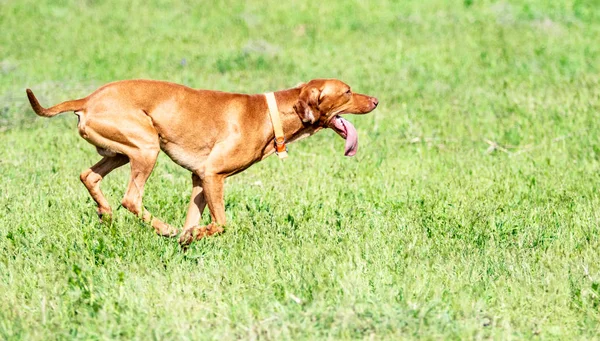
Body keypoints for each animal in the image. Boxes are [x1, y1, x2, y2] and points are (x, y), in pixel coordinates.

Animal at [27, 79, 380, 244]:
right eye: (348, 91)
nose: (376, 100)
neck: (273, 114)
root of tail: (87, 99)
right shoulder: (213, 175)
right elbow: (220, 224)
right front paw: (187, 236)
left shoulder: (199, 179)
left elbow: (193, 220)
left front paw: (187, 240)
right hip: (146, 148)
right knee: (131, 198)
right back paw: (163, 228)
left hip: (119, 153)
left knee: (89, 176)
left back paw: (105, 213)